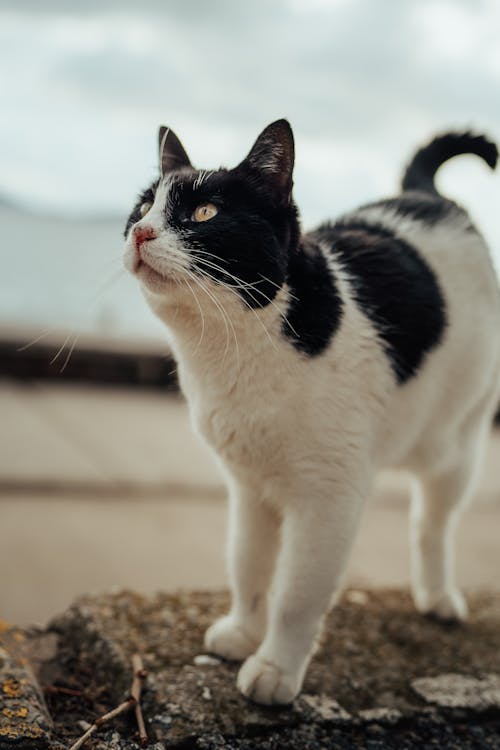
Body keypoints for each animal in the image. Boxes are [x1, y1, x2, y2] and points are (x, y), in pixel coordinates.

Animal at [123, 120, 500, 708]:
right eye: (143, 207)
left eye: (204, 212)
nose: (140, 233)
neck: (235, 352)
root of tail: (429, 198)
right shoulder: (248, 487)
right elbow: (248, 564)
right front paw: (243, 633)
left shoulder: (329, 499)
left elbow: (297, 595)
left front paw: (275, 668)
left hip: (458, 445)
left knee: (432, 523)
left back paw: (437, 597)